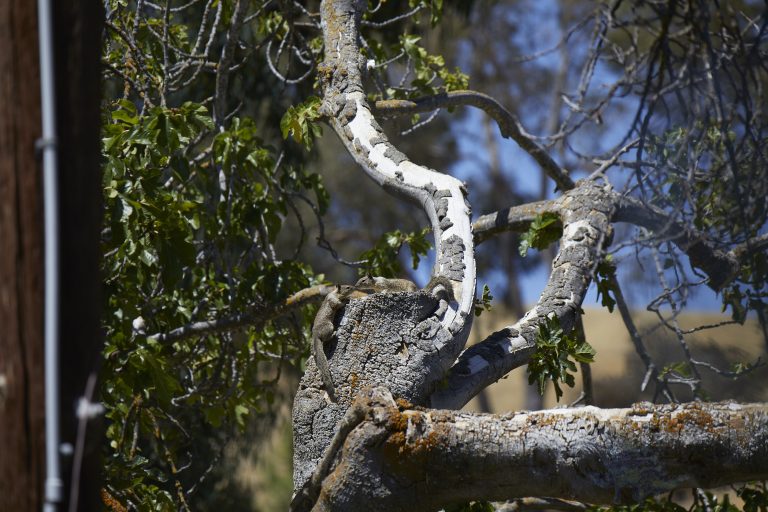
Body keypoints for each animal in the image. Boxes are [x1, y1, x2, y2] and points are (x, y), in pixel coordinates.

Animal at [311, 275, 455, 401]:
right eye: (347, 287)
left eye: (362, 280)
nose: (354, 286)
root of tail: (315, 335)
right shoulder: (333, 300)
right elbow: (337, 304)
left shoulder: (384, 285)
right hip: (328, 325)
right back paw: (335, 333)